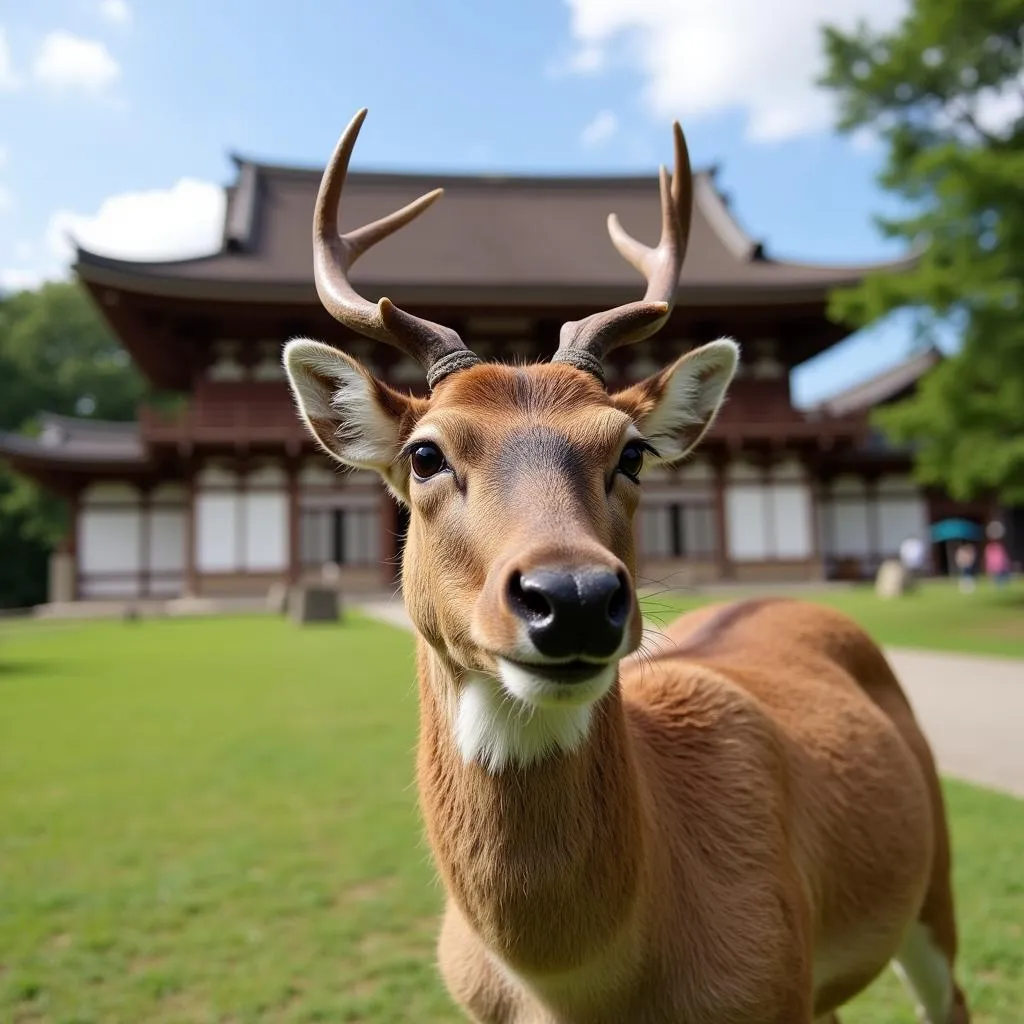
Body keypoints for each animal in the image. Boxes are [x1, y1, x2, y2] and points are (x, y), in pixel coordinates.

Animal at [284, 108, 970, 1019]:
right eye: (425, 454)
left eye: (633, 452)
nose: (573, 596)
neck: (586, 984)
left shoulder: (770, 982)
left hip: (934, 884)